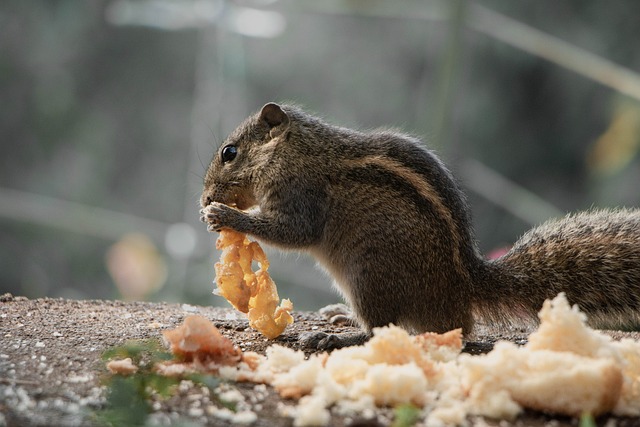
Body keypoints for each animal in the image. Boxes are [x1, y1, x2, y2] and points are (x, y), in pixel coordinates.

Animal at [200, 103, 640, 348]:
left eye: (229, 153)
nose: (204, 198)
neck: (294, 149)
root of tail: (464, 288)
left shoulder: (299, 194)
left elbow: (294, 232)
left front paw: (223, 215)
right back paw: (339, 316)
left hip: (371, 275)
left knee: (382, 328)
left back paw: (336, 336)